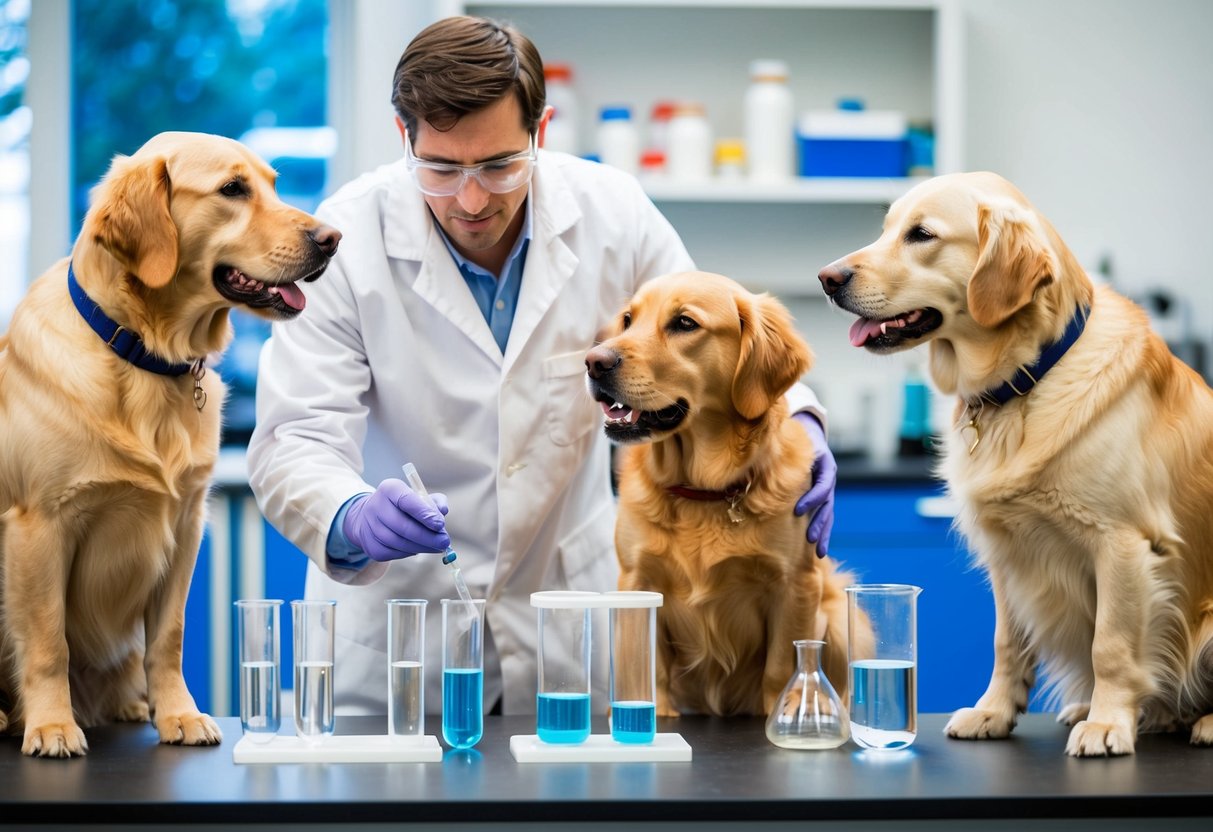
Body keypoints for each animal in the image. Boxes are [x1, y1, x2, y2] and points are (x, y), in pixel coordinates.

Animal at [0, 128, 342, 756]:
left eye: (273, 184)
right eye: (232, 189)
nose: (332, 240)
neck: (143, 354)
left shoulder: (186, 523)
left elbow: (169, 636)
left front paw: (179, 715)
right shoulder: (40, 525)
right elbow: (47, 640)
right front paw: (52, 724)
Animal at [587, 271, 863, 717]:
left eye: (684, 323)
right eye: (628, 320)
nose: (594, 362)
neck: (702, 490)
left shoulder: (794, 583)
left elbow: (781, 665)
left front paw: (784, 709)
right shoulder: (636, 578)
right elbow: (643, 663)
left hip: (841, 611)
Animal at [815, 169, 1213, 756]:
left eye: (921, 235)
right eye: (886, 229)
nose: (826, 278)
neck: (1026, 380)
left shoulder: (1124, 544)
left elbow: (1111, 646)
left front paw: (1108, 724)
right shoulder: (1009, 556)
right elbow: (1007, 644)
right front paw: (994, 713)